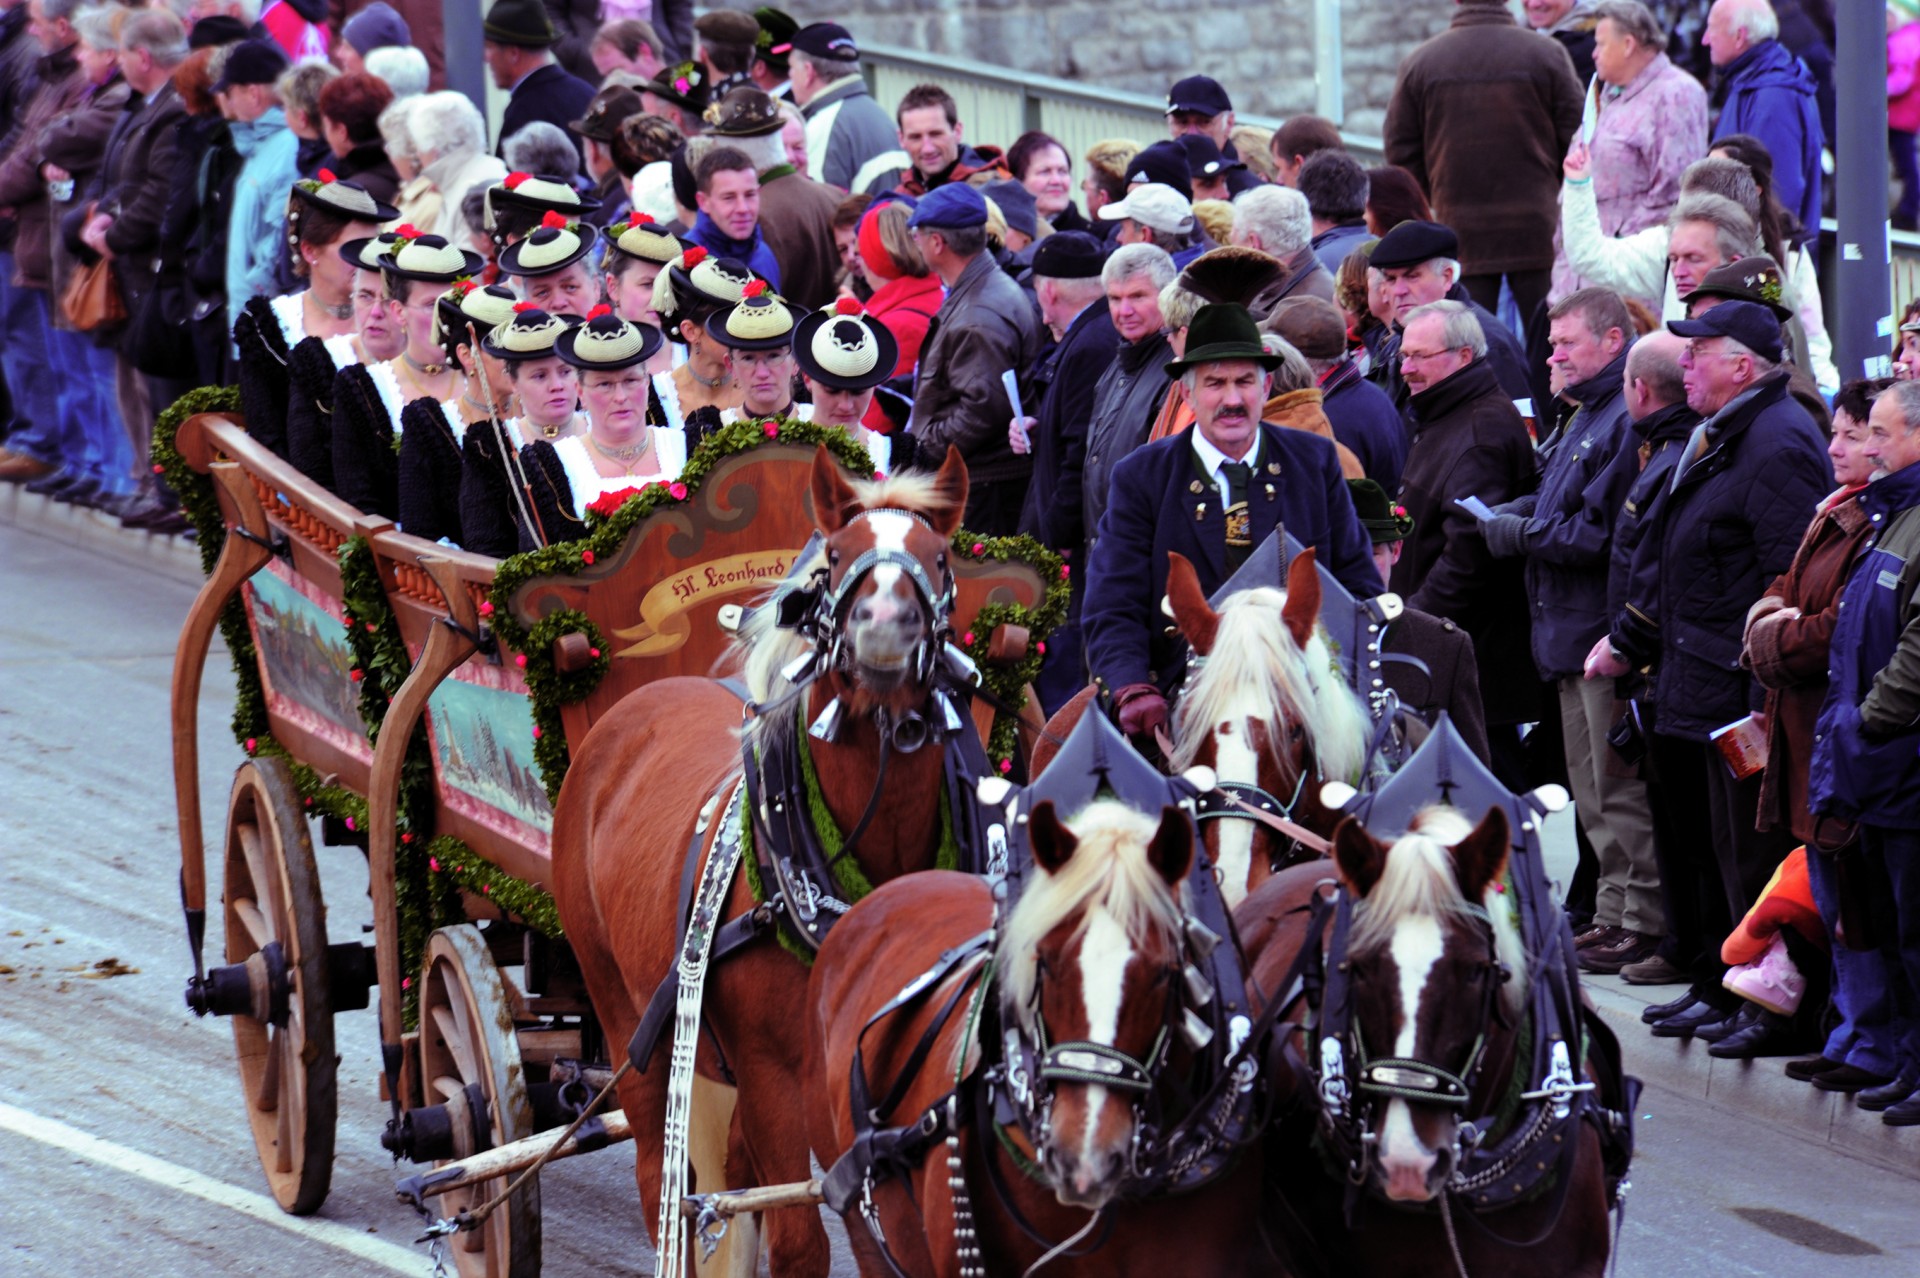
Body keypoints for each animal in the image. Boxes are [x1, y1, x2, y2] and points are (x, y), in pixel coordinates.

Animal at [552, 443, 975, 1266]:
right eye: (836, 556)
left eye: (940, 557)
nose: (884, 627)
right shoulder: (775, 1074)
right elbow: (800, 1243)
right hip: (625, 1016)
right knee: (661, 1179)